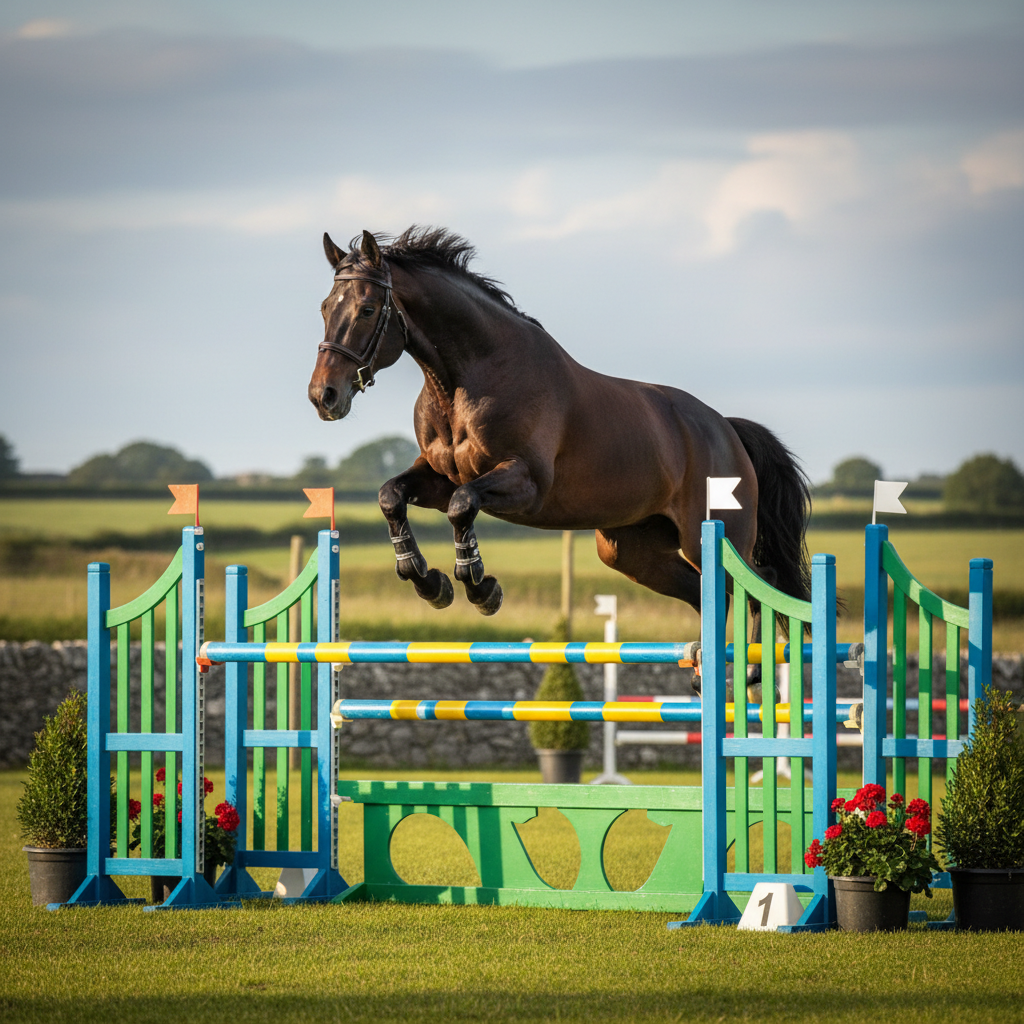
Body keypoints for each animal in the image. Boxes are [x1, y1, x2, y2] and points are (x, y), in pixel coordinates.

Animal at [308, 227, 811, 681]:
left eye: (367, 309)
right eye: (325, 308)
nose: (323, 396)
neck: (463, 379)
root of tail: (726, 428)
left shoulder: (525, 483)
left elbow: (462, 506)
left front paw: (481, 589)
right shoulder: (438, 476)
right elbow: (391, 496)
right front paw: (429, 582)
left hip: (713, 533)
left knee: (754, 579)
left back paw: (750, 670)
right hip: (631, 551)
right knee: (708, 592)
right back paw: (707, 670)